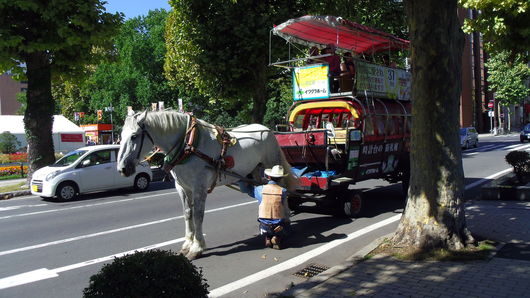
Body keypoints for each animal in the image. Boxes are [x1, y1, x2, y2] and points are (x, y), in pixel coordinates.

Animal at [116, 110, 296, 260]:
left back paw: (285, 220)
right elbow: (187, 214)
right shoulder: (182, 187)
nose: (122, 168)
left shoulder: (199, 187)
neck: (188, 144)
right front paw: (187, 244)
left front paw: (197, 247)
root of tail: (266, 129)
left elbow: (198, 215)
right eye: (120, 136)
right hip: (256, 171)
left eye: (134, 136)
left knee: (282, 189)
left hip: (271, 164)